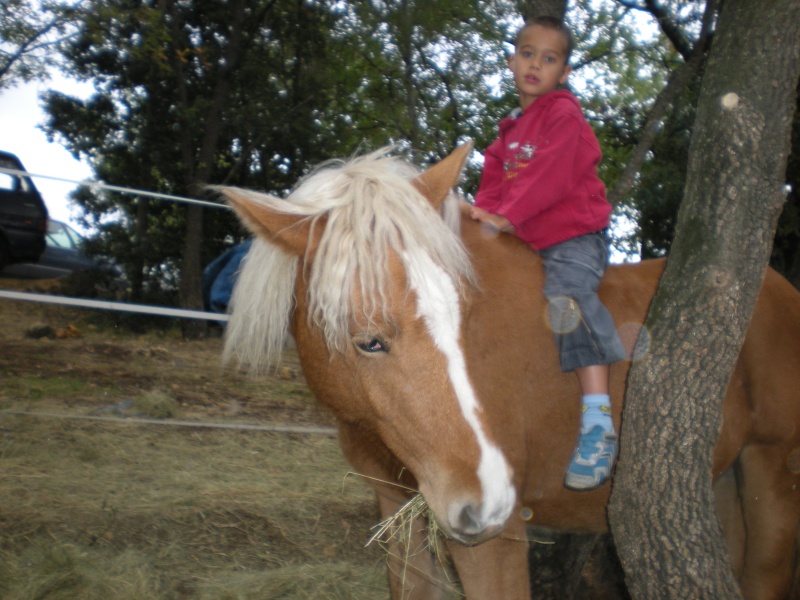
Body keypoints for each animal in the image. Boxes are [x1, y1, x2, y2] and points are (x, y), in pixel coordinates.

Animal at [217, 143, 800, 596]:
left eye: (463, 319)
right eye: (369, 342)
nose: (488, 499)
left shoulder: (494, 544)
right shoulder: (397, 509)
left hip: (771, 470)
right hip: (722, 481)